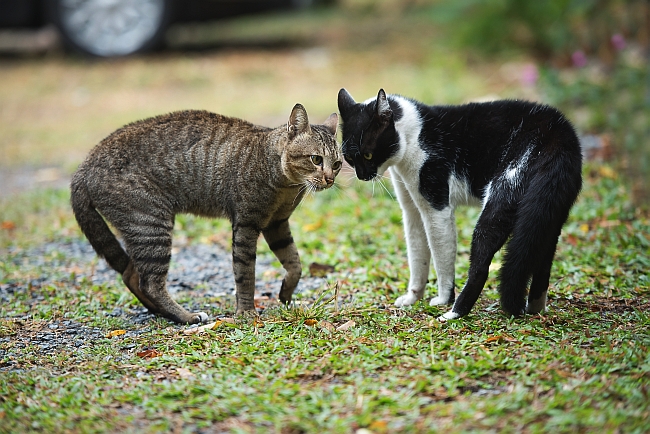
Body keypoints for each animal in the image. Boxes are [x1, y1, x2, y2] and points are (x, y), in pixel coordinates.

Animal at [72, 104, 340, 322]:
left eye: (337, 164)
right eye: (316, 159)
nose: (329, 179)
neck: (286, 184)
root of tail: (83, 167)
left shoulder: (277, 223)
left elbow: (295, 263)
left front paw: (285, 294)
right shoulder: (247, 224)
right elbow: (245, 272)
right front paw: (246, 312)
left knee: (131, 275)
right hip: (151, 224)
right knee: (150, 283)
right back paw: (185, 317)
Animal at [336, 87, 580, 318]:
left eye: (368, 155)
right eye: (349, 158)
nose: (361, 176)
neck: (414, 135)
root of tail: (559, 132)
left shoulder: (437, 208)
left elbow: (441, 257)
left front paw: (443, 298)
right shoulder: (412, 211)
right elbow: (417, 256)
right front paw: (413, 297)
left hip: (501, 199)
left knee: (481, 267)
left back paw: (454, 312)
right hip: (546, 213)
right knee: (541, 259)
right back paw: (535, 309)